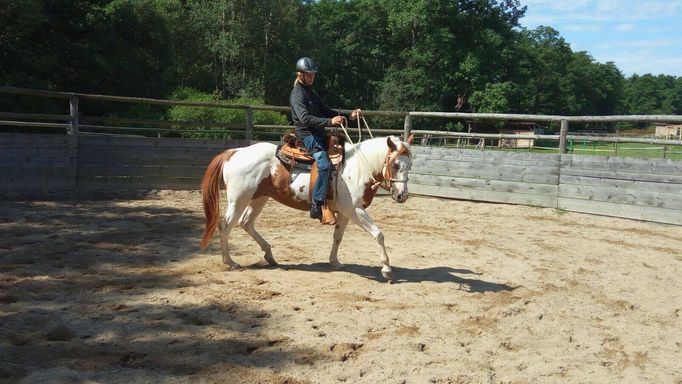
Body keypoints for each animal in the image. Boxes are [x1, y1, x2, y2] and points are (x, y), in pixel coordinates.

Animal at [197, 134, 410, 280]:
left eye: (409, 165)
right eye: (395, 165)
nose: (402, 196)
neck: (359, 167)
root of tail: (234, 152)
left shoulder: (345, 212)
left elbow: (337, 237)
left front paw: (335, 262)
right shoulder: (355, 210)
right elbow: (378, 234)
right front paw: (386, 268)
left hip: (259, 198)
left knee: (246, 223)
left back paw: (269, 255)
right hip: (238, 200)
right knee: (226, 226)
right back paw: (231, 262)